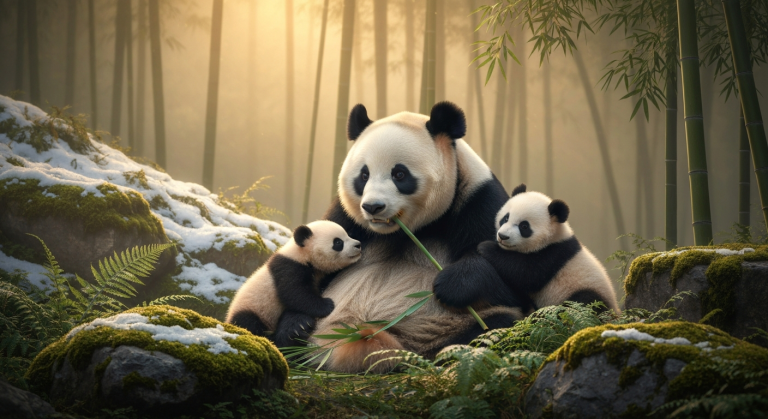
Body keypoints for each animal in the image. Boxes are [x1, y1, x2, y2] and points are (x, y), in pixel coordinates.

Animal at [226, 220, 362, 348]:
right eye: (338, 242)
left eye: (348, 235)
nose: (358, 245)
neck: (301, 253)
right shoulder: (289, 267)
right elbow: (295, 294)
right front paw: (326, 305)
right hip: (253, 309)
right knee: (249, 323)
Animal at [275, 101, 527, 373]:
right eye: (363, 175)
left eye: (399, 174)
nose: (373, 207)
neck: (404, 231)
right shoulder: (343, 217)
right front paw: (295, 322)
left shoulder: (480, 202)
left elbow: (513, 281)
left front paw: (451, 284)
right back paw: (295, 330)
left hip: (448, 326)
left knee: (493, 324)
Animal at [477, 184, 620, 313]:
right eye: (506, 218)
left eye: (524, 226)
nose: (502, 236)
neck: (553, 236)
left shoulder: (554, 254)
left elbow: (525, 273)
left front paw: (486, 247)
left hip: (587, 290)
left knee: (585, 302)